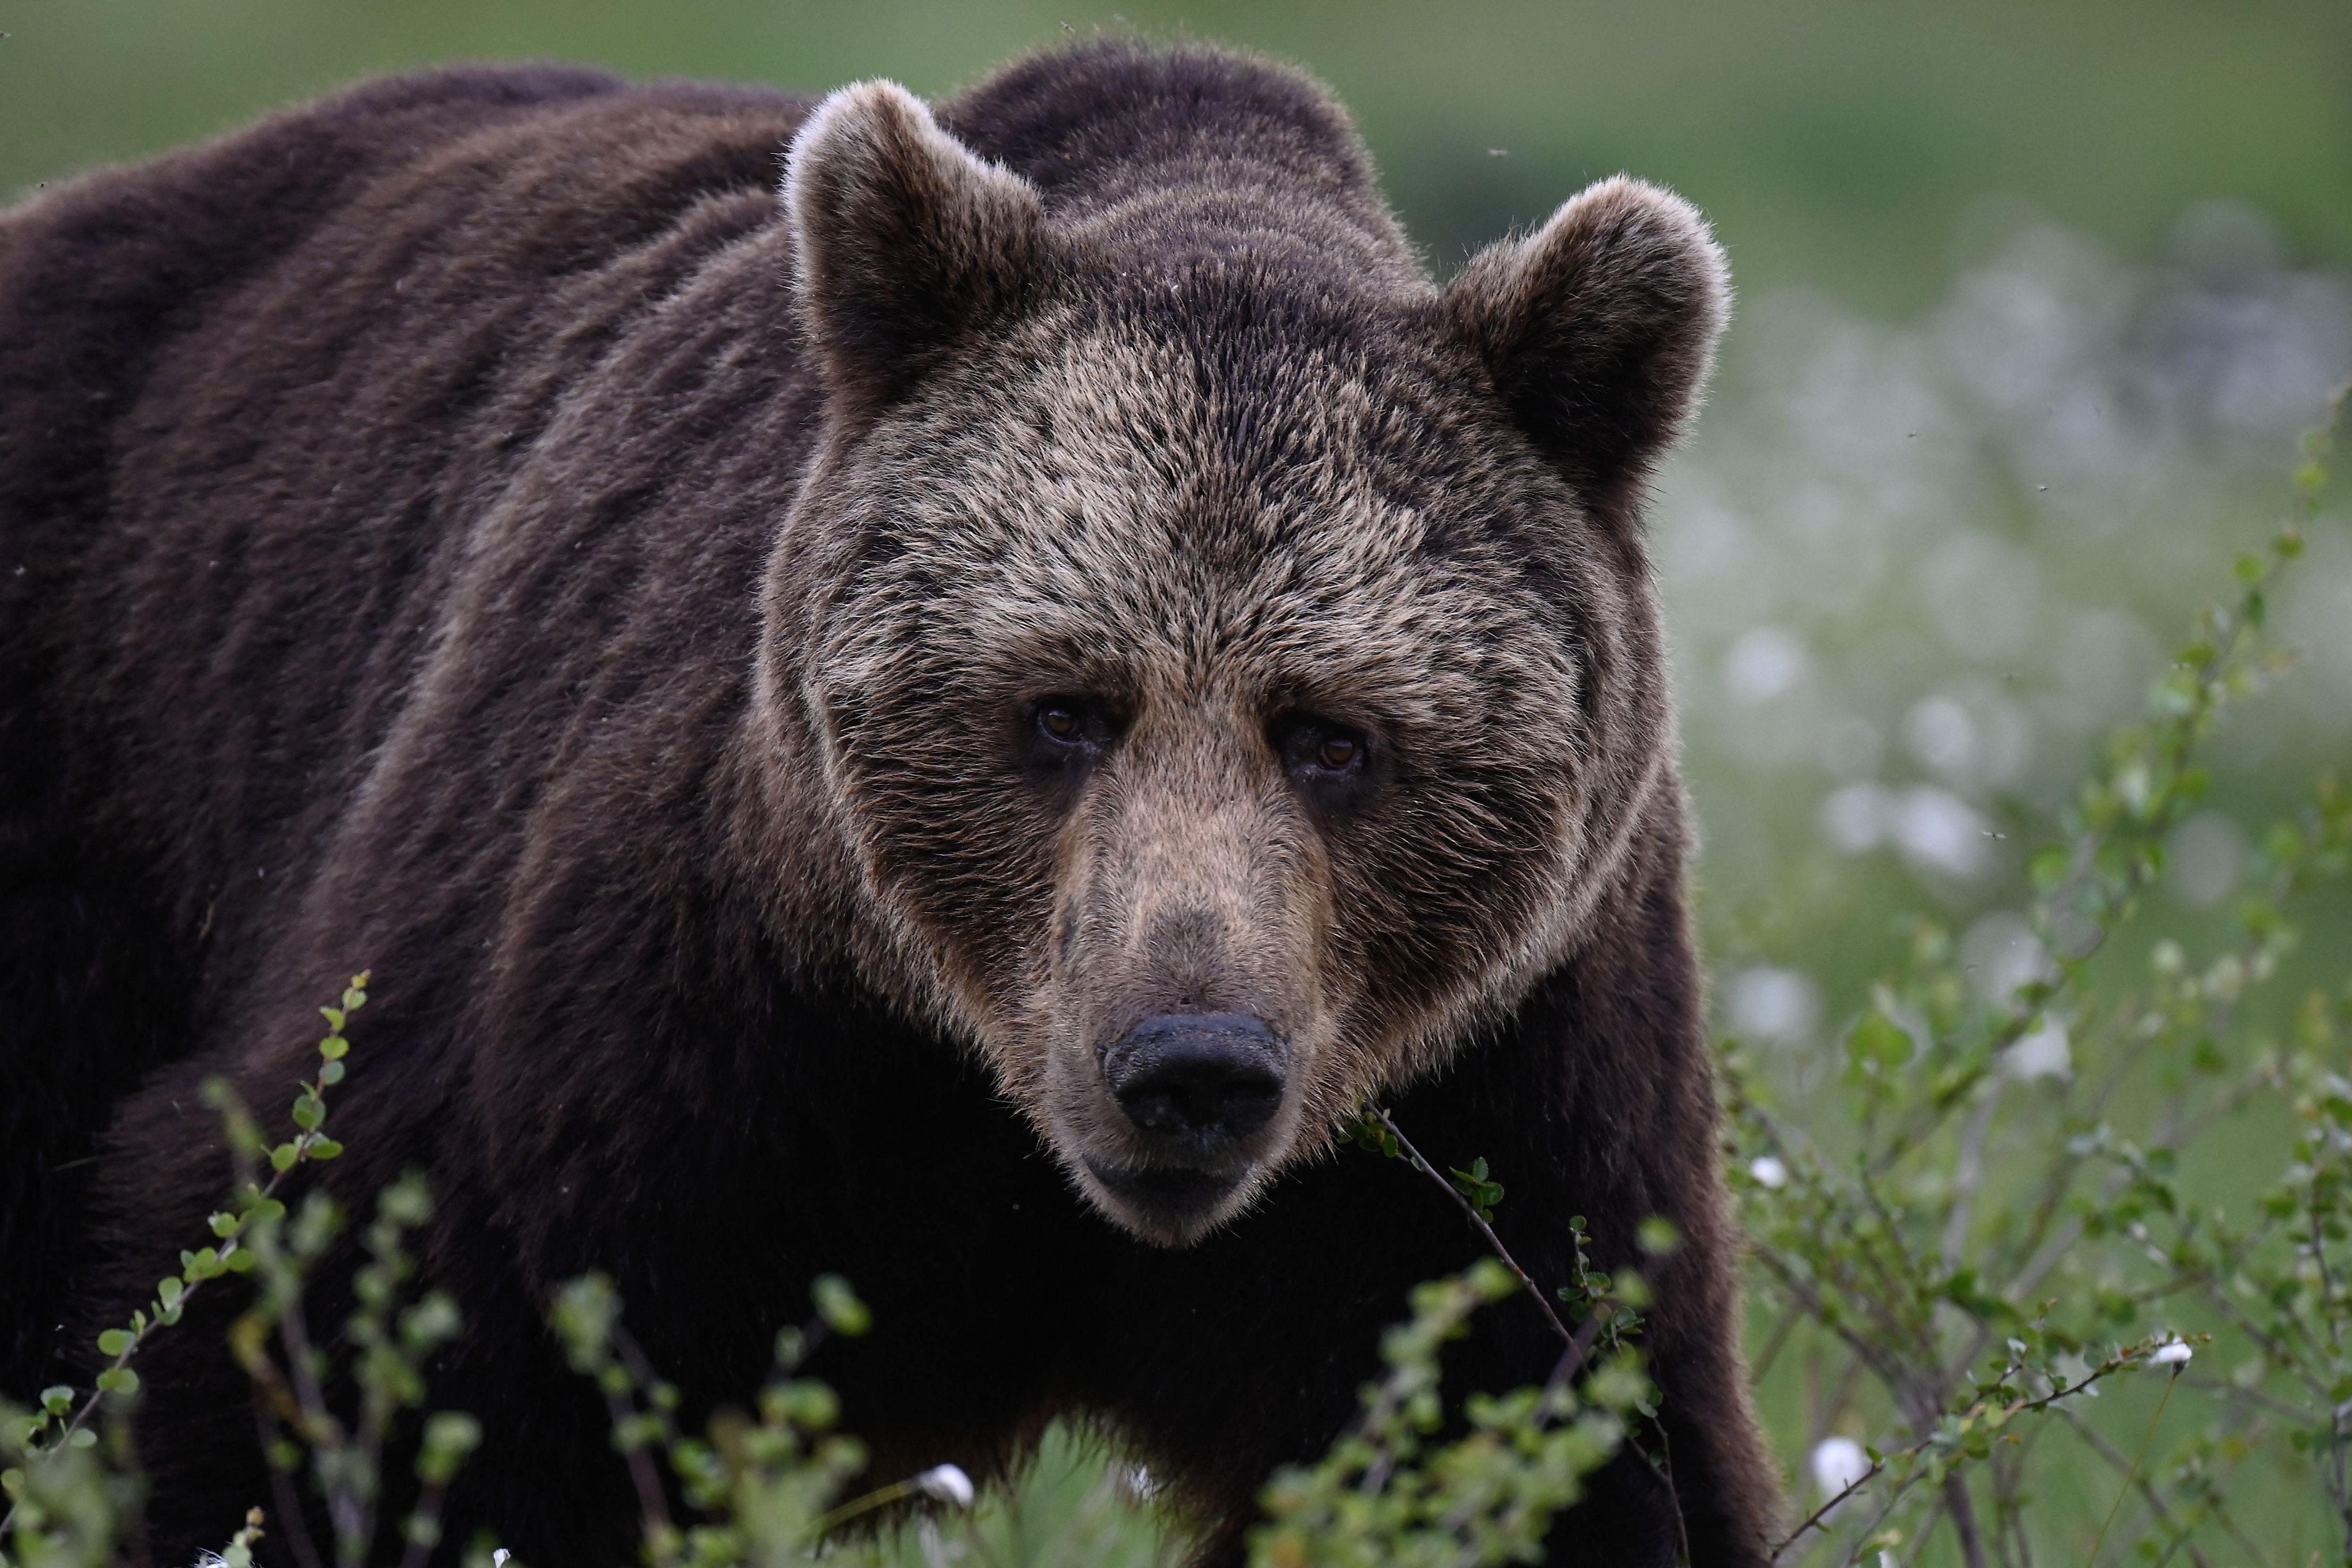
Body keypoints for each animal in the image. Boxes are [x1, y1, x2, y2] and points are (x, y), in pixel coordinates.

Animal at [0, 38, 1780, 1567]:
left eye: (1333, 735)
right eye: (1064, 708)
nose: (1189, 1066)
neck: (976, 1095)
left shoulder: (1496, 1096)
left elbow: (1574, 1449)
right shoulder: (650, 1023)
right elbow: (332, 1348)